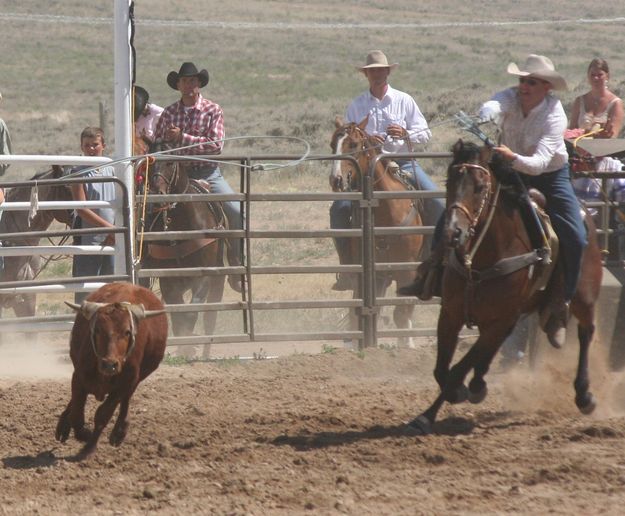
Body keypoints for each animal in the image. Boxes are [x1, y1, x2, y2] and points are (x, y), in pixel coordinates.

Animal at [55, 282, 167, 460]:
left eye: (127, 332)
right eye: (98, 330)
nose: (109, 365)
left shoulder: (124, 385)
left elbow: (102, 415)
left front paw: (89, 447)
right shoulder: (78, 377)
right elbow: (77, 413)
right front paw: (82, 432)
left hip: (137, 378)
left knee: (126, 400)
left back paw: (119, 432)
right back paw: (63, 426)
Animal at [136, 150, 227, 338]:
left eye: (170, 163)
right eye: (150, 164)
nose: (156, 195)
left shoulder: (204, 275)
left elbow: (190, 315)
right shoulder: (169, 280)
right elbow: (178, 317)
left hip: (218, 278)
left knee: (210, 317)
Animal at [332, 115, 424, 344]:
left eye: (354, 144)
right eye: (332, 144)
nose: (336, 179)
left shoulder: (407, 269)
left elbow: (401, 314)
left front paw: (406, 344)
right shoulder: (365, 272)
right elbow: (357, 311)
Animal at [408, 141, 604, 436]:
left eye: (480, 186)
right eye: (449, 181)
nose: (452, 233)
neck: (482, 259)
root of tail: (587, 216)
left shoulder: (498, 320)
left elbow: (456, 370)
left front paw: (434, 410)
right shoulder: (451, 314)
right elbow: (442, 370)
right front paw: (453, 398)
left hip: (584, 298)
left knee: (586, 332)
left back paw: (585, 396)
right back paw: (478, 384)